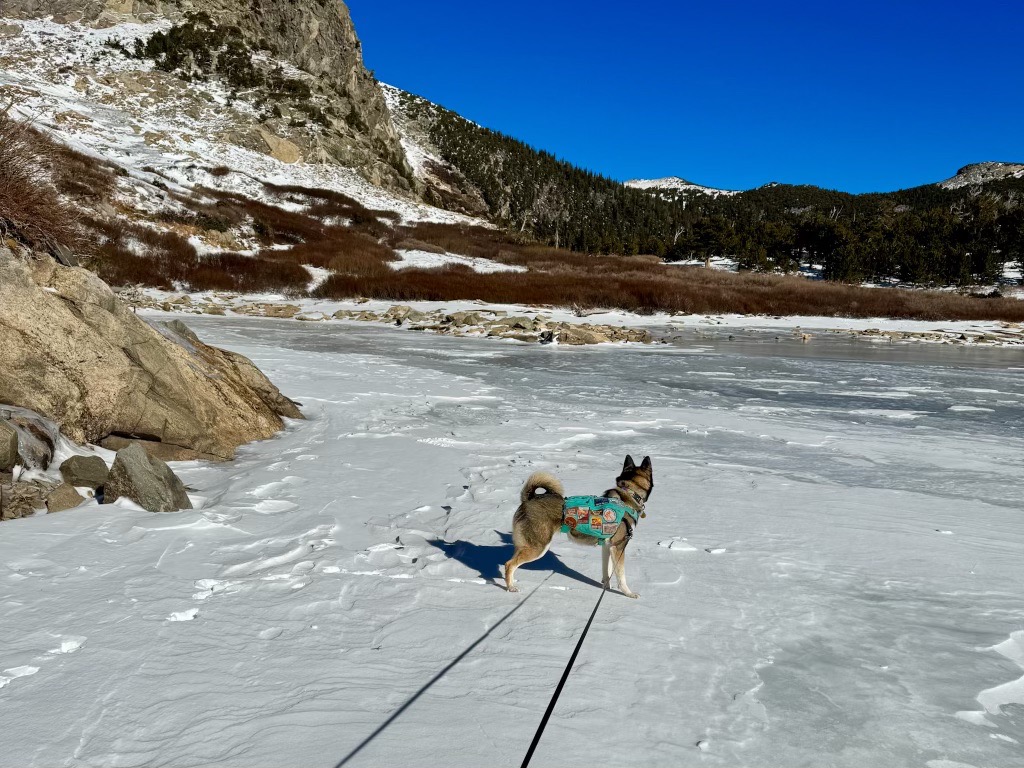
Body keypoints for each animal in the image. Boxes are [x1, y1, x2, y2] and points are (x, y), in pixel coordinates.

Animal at [503, 454, 655, 598]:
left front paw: (606, 588)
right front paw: (629, 593)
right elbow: (621, 576)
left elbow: (607, 571)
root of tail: (528, 499)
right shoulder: (619, 547)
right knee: (509, 564)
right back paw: (511, 587)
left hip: (525, 545)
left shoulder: (608, 547)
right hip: (539, 547)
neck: (629, 495)